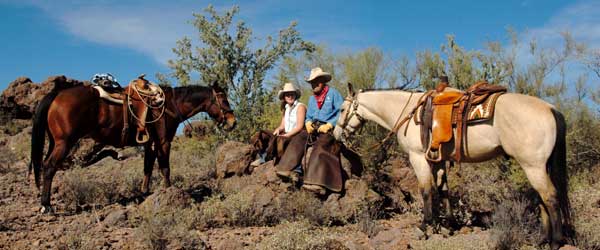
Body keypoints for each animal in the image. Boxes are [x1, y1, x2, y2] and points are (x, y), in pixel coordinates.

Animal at [30, 76, 236, 213]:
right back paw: (46, 206)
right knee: (49, 167)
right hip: (64, 143)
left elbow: (148, 168)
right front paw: (169, 192)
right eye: (223, 99)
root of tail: (57, 94)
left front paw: (145, 193)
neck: (169, 104)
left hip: (54, 143)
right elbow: (165, 168)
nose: (232, 122)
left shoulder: (150, 143)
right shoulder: (163, 142)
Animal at [332, 83, 572, 248]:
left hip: (533, 166)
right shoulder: (436, 159)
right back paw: (542, 240)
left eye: (342, 109)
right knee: (542, 200)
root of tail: (551, 109)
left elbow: (426, 191)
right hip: (539, 166)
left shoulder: (418, 157)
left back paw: (556, 241)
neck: (407, 111)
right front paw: (445, 225)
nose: (336, 135)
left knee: (550, 198)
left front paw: (425, 227)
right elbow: (442, 190)